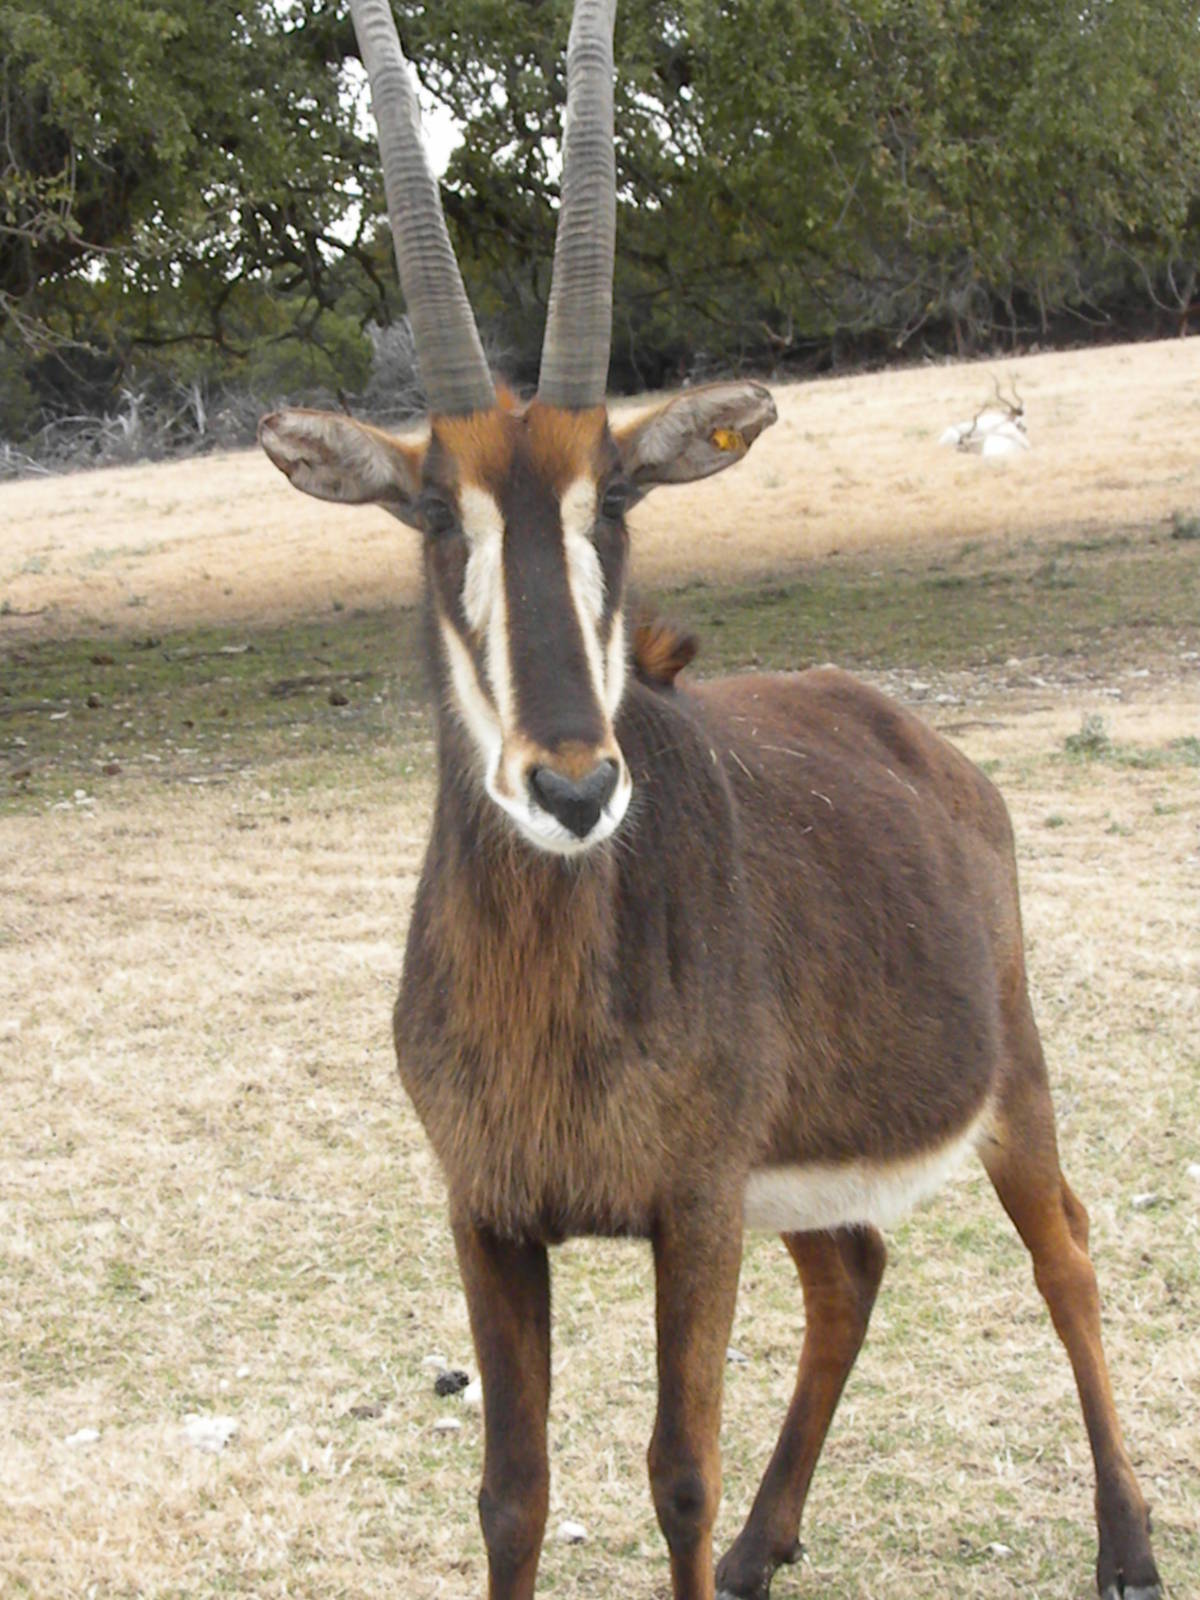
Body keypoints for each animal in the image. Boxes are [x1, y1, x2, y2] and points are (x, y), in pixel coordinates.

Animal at [258, 3, 1163, 1597]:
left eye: (615, 496)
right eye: (432, 513)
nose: (570, 786)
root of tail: (925, 748)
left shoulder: (689, 1212)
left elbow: (677, 1471)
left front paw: (707, 1520)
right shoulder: (492, 1213)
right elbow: (511, 1490)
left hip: (1010, 1086)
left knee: (1066, 1251)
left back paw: (1125, 1543)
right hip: (785, 1179)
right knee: (853, 1270)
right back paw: (767, 1543)